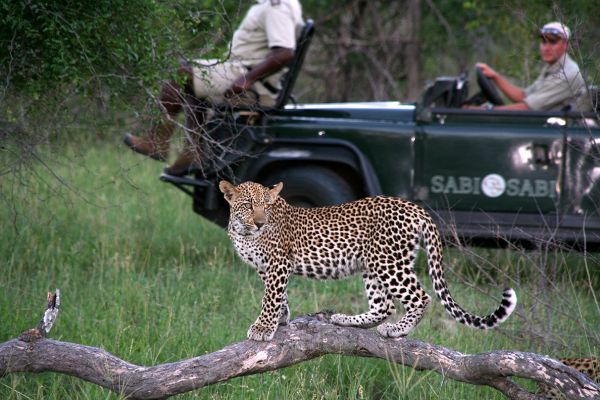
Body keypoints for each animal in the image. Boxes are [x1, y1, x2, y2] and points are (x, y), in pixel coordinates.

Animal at [218, 180, 516, 340]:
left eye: (266, 206)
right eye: (248, 205)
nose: (260, 222)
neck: (244, 231)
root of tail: (416, 208)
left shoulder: (278, 262)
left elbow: (270, 297)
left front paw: (263, 327)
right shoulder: (264, 267)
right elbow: (277, 296)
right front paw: (281, 318)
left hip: (389, 263)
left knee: (420, 297)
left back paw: (397, 329)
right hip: (373, 265)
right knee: (384, 305)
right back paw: (346, 320)